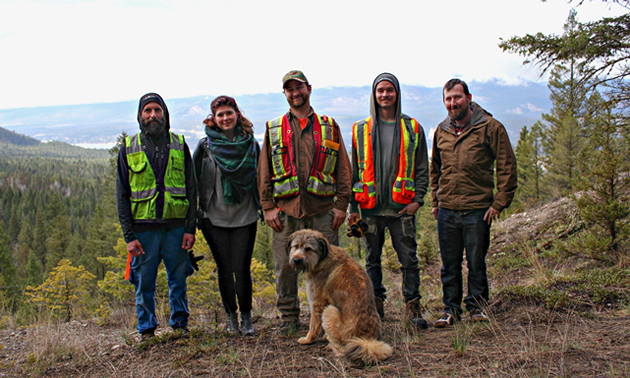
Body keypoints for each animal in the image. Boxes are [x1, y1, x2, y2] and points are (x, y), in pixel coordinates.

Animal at [288, 229, 396, 364]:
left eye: (308, 249)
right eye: (296, 246)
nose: (296, 260)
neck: (322, 258)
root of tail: (366, 341)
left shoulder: (317, 302)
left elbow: (313, 324)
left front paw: (308, 339)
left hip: (329, 312)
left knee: (342, 350)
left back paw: (331, 347)